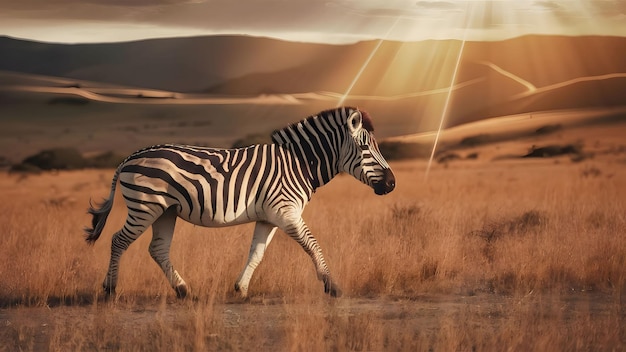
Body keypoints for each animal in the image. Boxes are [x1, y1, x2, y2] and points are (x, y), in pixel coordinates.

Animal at [83, 106, 394, 298]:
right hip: (145, 206)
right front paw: (332, 286)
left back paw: (184, 291)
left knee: (157, 249)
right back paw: (110, 289)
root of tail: (129, 158)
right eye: (365, 147)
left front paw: (241, 289)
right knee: (118, 241)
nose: (392, 184)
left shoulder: (269, 217)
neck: (299, 164)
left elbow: (256, 253)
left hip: (165, 211)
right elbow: (313, 245)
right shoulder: (286, 212)